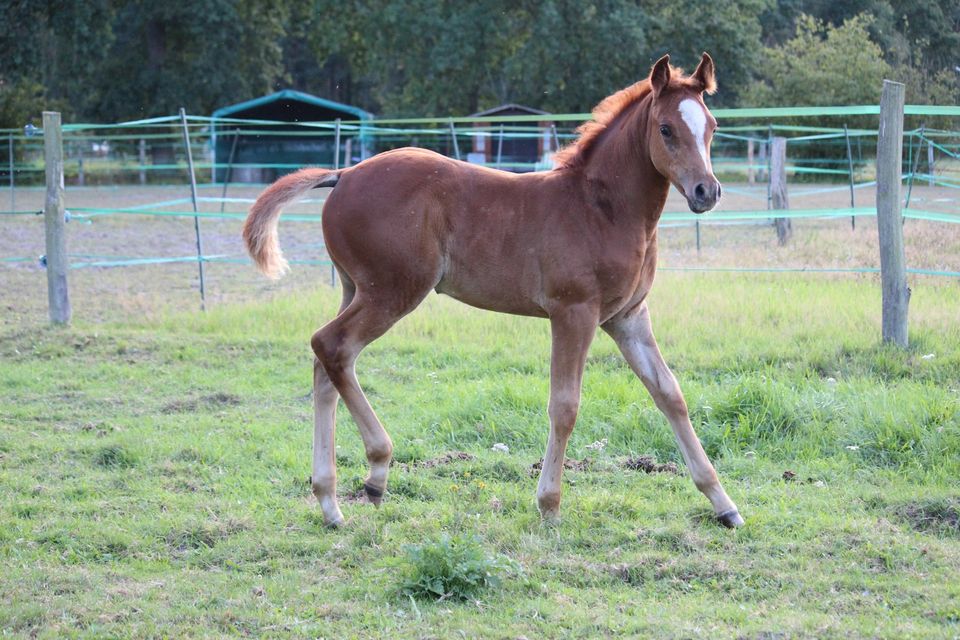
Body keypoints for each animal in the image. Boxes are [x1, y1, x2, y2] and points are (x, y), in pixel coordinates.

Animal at [246, 52, 744, 528]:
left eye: (712, 127)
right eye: (666, 129)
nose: (707, 190)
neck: (601, 208)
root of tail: (345, 174)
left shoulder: (628, 318)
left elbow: (670, 395)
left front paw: (723, 504)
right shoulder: (574, 313)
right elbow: (565, 406)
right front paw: (549, 505)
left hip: (355, 289)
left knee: (327, 364)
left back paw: (330, 502)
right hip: (392, 291)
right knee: (332, 346)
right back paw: (376, 471)